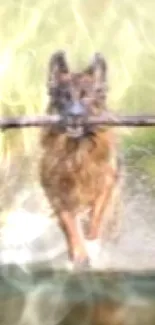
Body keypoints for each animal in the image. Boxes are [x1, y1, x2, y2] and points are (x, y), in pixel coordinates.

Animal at [39, 50, 121, 266]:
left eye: (86, 97)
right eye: (65, 98)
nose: (74, 116)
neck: (77, 149)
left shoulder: (106, 182)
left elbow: (97, 212)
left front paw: (90, 232)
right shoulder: (56, 191)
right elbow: (68, 222)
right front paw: (79, 252)